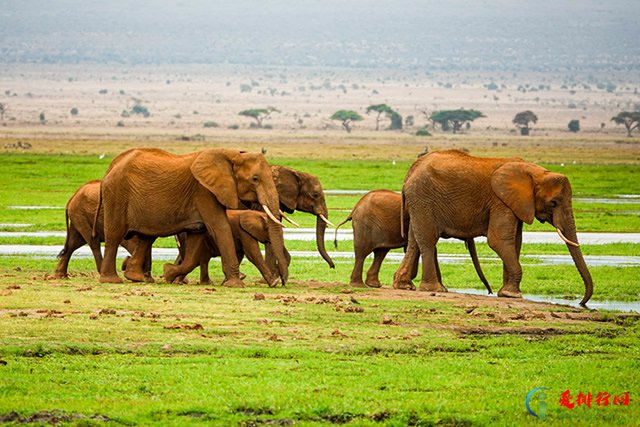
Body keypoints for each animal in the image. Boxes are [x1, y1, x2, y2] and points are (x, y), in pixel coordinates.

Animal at [162, 211, 292, 288]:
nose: (283, 283)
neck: (257, 214)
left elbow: (239, 253)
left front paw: (228, 281)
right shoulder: (244, 232)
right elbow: (252, 254)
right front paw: (274, 283)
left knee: (200, 259)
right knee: (194, 259)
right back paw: (176, 279)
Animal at [332, 189, 492, 292]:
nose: (490, 291)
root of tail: (354, 209)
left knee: (380, 252)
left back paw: (374, 285)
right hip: (364, 225)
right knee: (362, 253)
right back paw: (359, 286)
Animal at [392, 150, 592, 308]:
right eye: (553, 203)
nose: (582, 302)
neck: (536, 172)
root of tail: (411, 170)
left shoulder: (515, 204)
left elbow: (516, 242)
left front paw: (506, 292)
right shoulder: (501, 201)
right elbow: (498, 240)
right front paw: (512, 295)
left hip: (418, 201)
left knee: (414, 241)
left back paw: (405, 285)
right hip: (424, 198)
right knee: (427, 240)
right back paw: (435, 289)